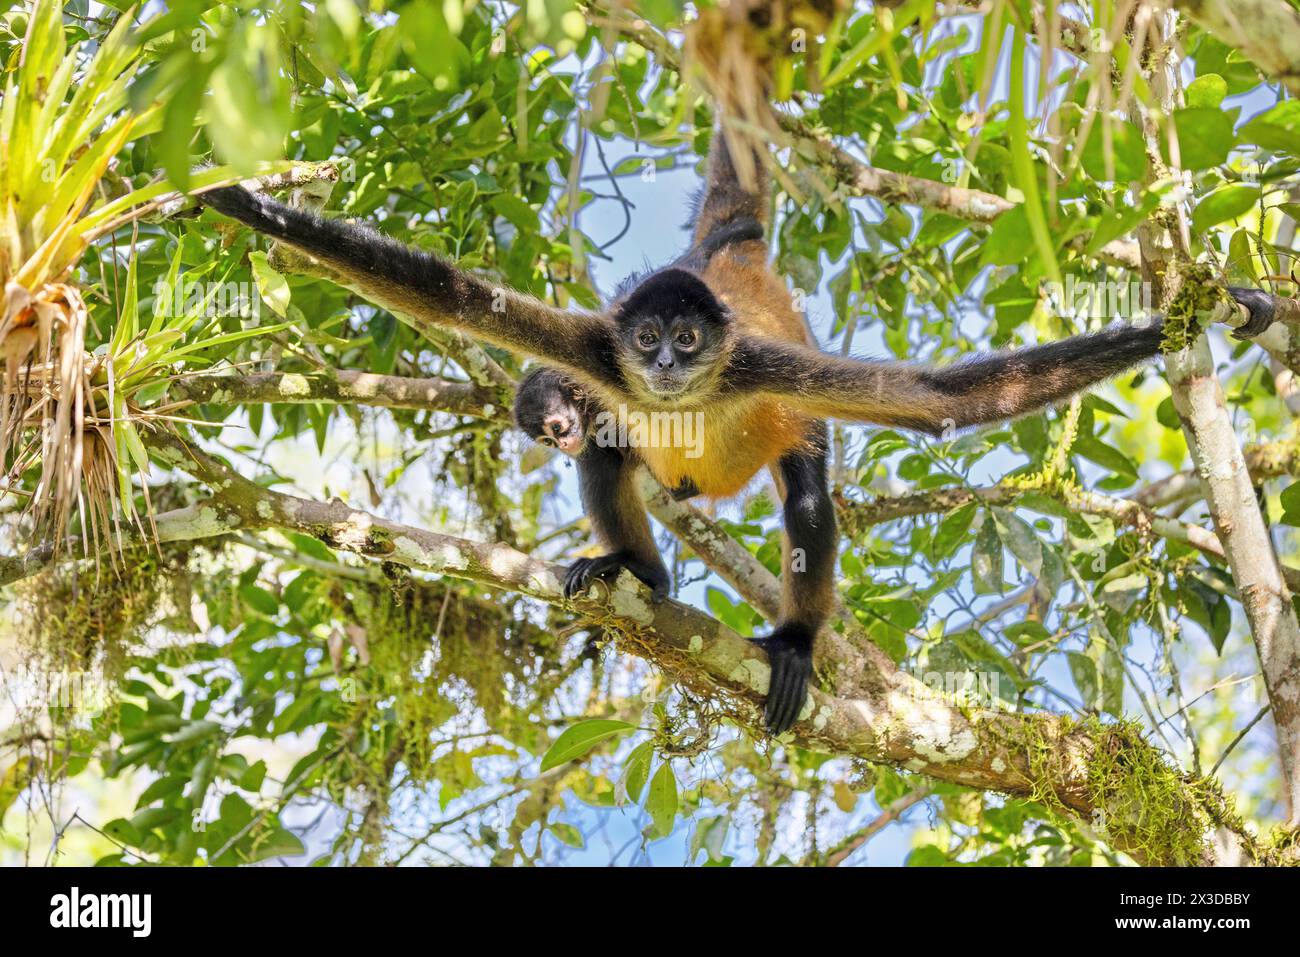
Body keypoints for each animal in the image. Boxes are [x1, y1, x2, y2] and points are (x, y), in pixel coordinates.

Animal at [202, 128, 1279, 733]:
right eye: (649, 339)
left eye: (686, 341)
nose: (670, 365)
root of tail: (730, 262)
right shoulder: (598, 354)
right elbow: (441, 293)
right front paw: (242, 200)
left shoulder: (759, 367)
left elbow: (937, 399)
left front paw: (1181, 321)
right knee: (614, 463)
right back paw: (639, 573)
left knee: (805, 500)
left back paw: (795, 641)